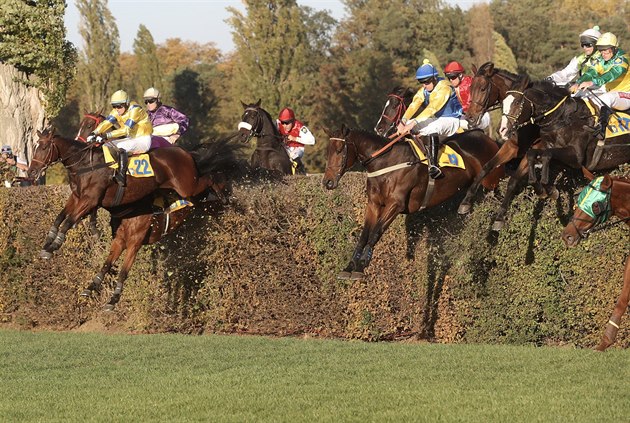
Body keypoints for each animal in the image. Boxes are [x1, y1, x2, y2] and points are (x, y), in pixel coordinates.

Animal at [26, 127, 237, 260]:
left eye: (43, 147)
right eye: (35, 146)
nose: (31, 172)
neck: (86, 164)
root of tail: (185, 153)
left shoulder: (90, 200)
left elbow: (68, 221)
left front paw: (54, 246)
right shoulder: (77, 197)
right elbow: (60, 217)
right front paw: (47, 243)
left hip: (187, 186)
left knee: (211, 176)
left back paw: (225, 196)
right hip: (185, 191)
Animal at [78, 141, 238, 310]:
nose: (92, 227)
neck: (130, 210)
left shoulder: (135, 243)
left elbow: (123, 271)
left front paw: (113, 299)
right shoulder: (120, 241)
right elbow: (107, 264)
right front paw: (90, 288)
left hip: (207, 199)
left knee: (217, 183)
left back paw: (227, 200)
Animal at [324, 124, 506, 280]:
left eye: (339, 150)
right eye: (328, 151)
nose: (327, 182)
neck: (385, 163)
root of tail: (486, 137)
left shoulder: (395, 205)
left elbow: (375, 232)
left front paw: (362, 265)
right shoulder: (373, 204)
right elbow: (364, 235)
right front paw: (350, 267)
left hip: (492, 180)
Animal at [456, 62, 544, 232]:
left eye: (483, 88)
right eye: (470, 88)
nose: (469, 117)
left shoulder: (530, 152)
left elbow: (513, 180)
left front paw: (499, 217)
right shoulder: (511, 147)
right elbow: (487, 167)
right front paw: (466, 202)